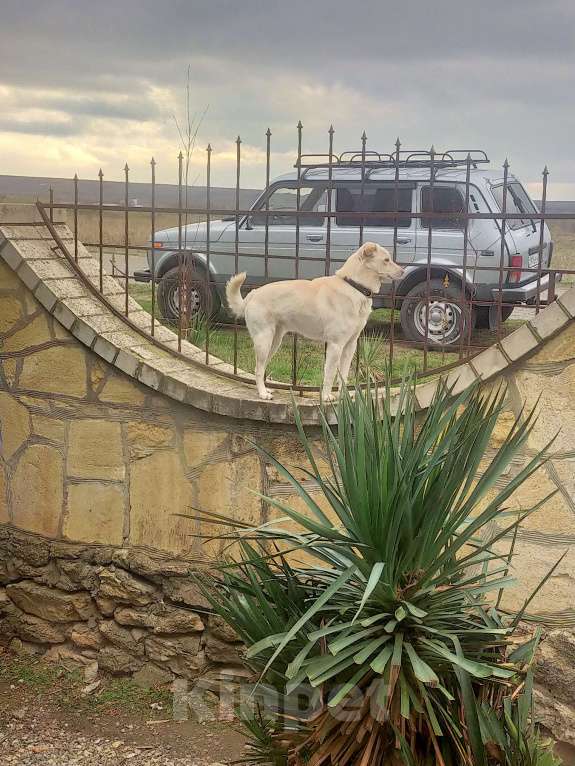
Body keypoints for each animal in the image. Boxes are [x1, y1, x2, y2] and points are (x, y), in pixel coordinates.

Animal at [225, 244, 404, 402]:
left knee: (261, 368)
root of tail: (253, 294)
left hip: (274, 343)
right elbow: (330, 374)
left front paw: (344, 398)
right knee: (258, 369)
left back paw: (266, 389)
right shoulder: (335, 345)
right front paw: (326, 397)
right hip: (264, 341)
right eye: (386, 260)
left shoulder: (350, 346)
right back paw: (263, 394)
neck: (354, 287)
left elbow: (343, 375)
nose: (403, 271)